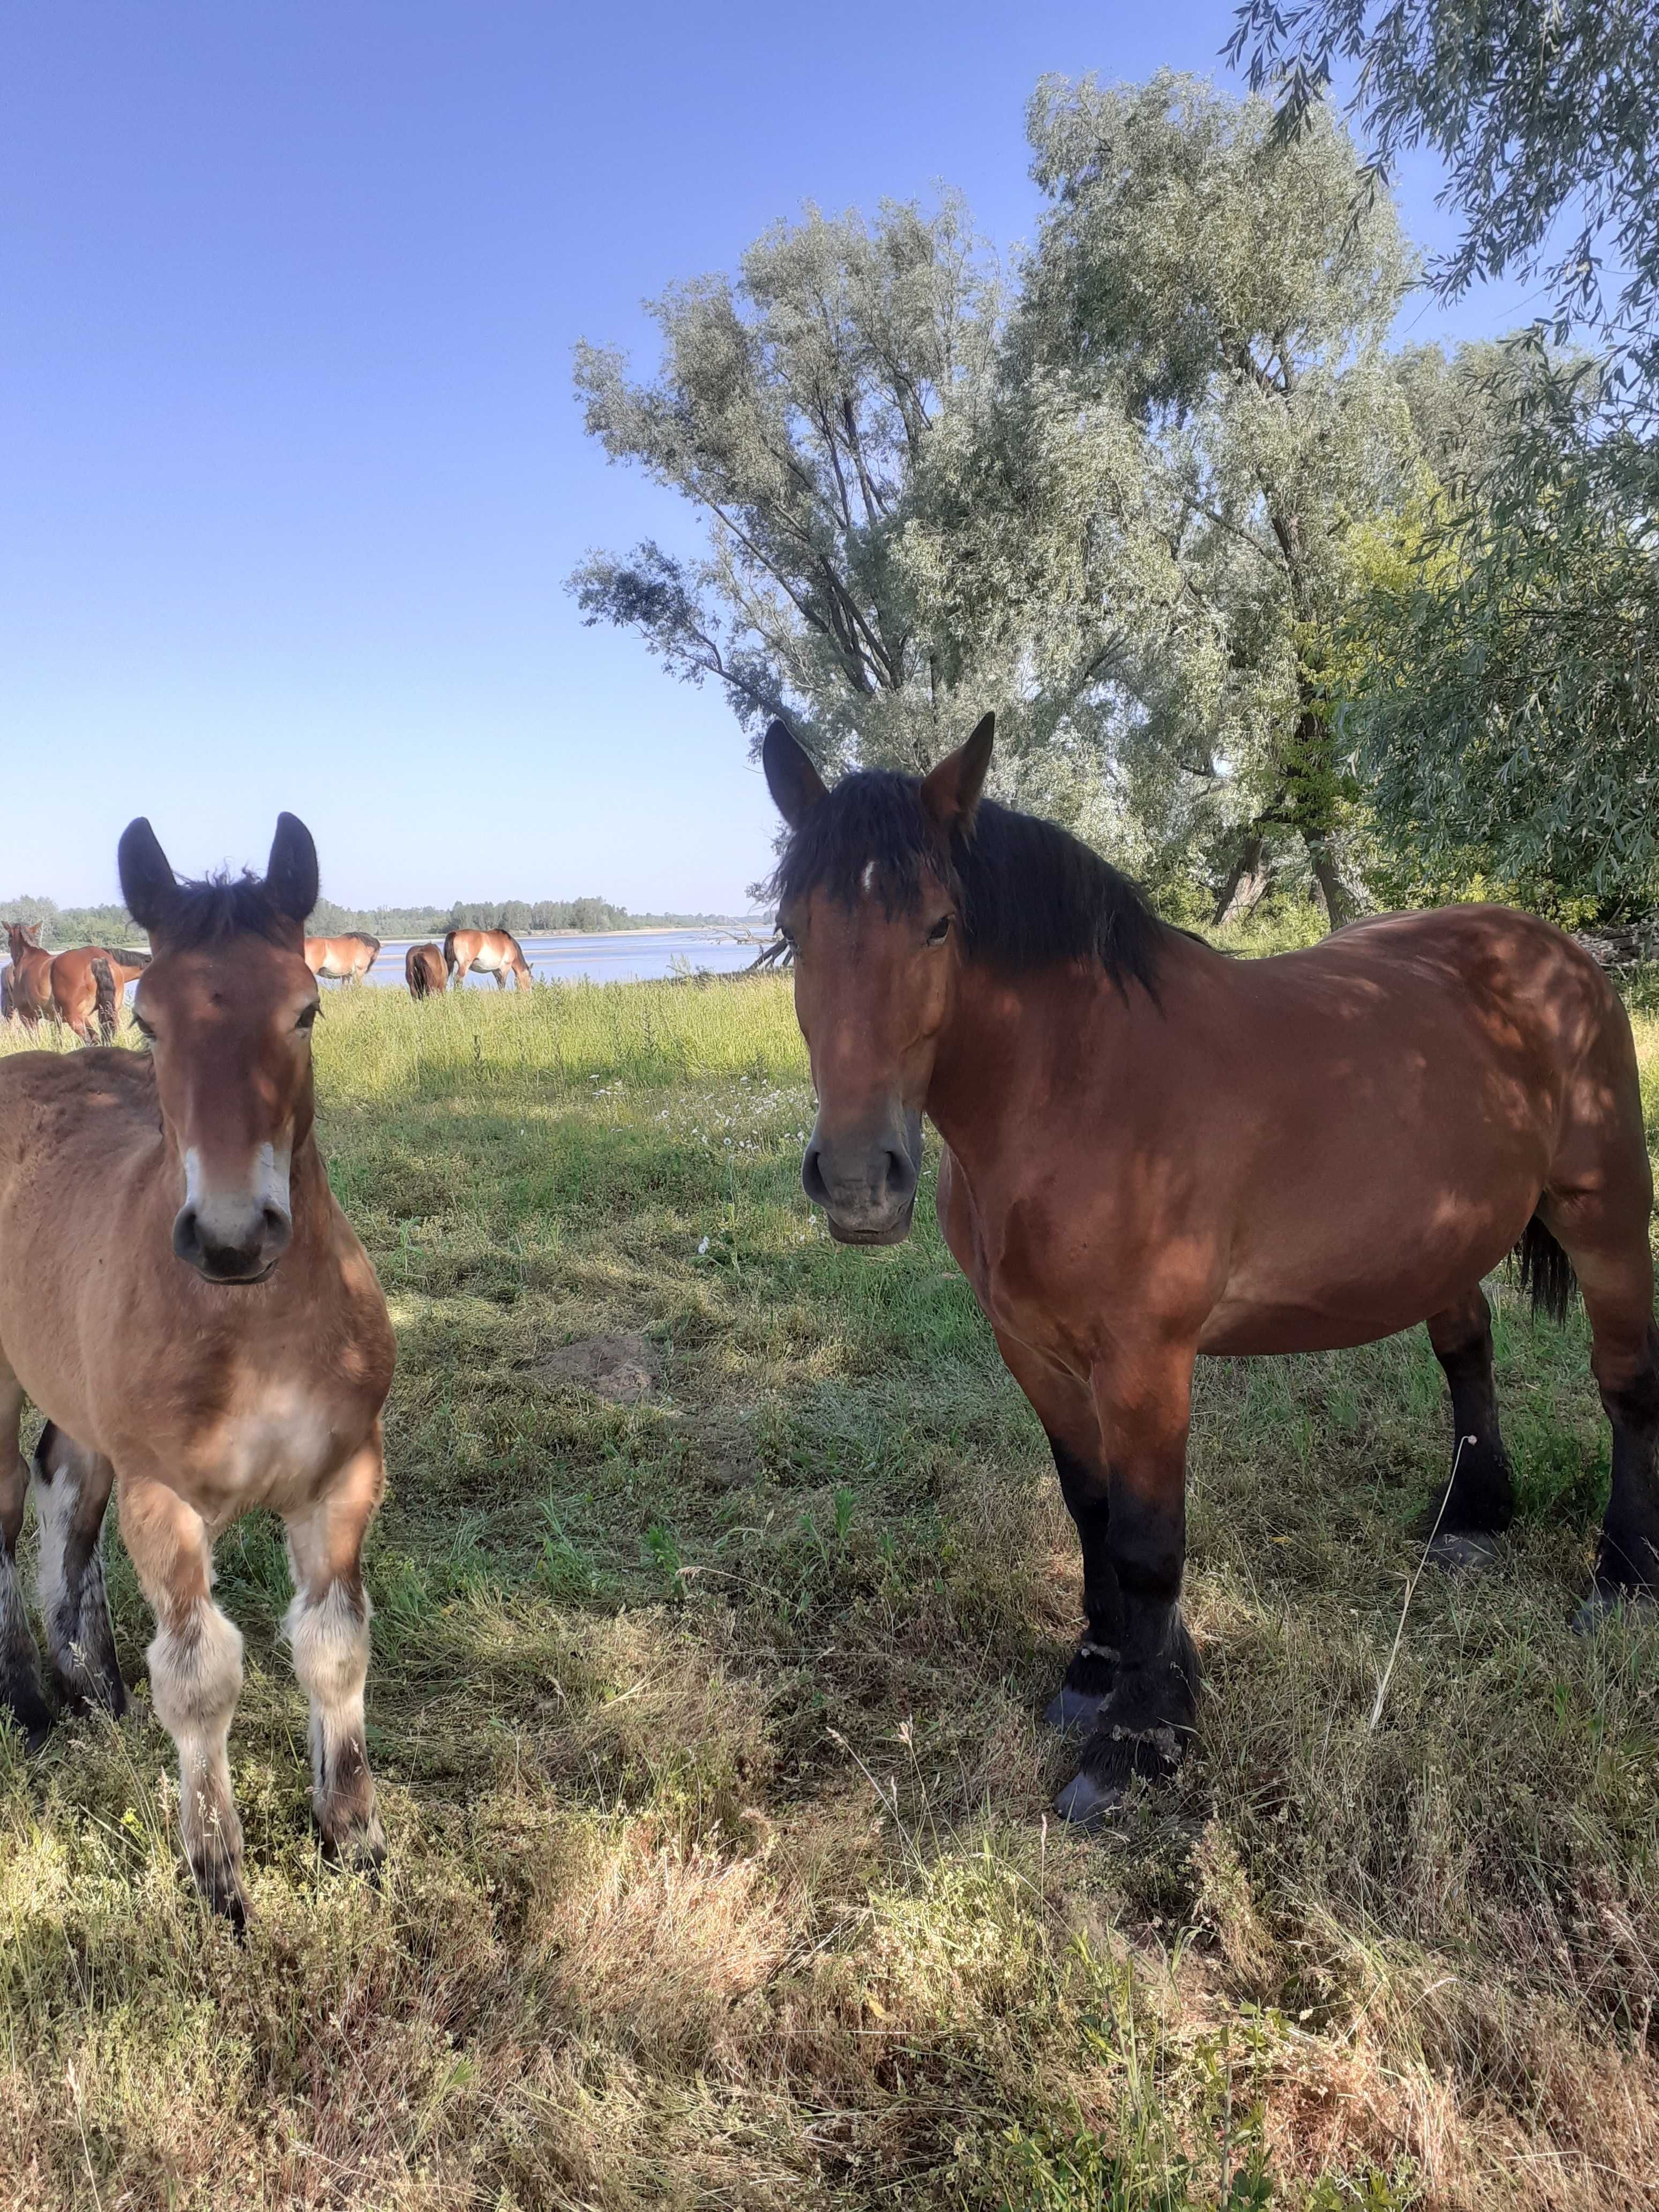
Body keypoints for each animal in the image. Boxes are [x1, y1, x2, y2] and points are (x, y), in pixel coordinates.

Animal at [449, 924, 533, 995]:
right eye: (531, 979)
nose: (529, 994)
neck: (511, 946)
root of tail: (456, 933)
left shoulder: (495, 970)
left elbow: (499, 984)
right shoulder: (505, 968)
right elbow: (503, 983)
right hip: (464, 966)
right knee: (458, 980)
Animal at [765, 716, 1659, 1822]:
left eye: (937, 925)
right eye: (793, 930)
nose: (857, 1180)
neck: (1077, 1087)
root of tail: (1557, 953)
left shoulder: (1145, 1360)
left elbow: (1148, 1543)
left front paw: (1138, 1740)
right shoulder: (1033, 1348)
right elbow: (1091, 1508)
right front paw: (1098, 1670)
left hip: (1606, 1217)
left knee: (1626, 1386)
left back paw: (1620, 1579)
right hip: (1443, 1238)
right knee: (1468, 1350)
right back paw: (1474, 1518)